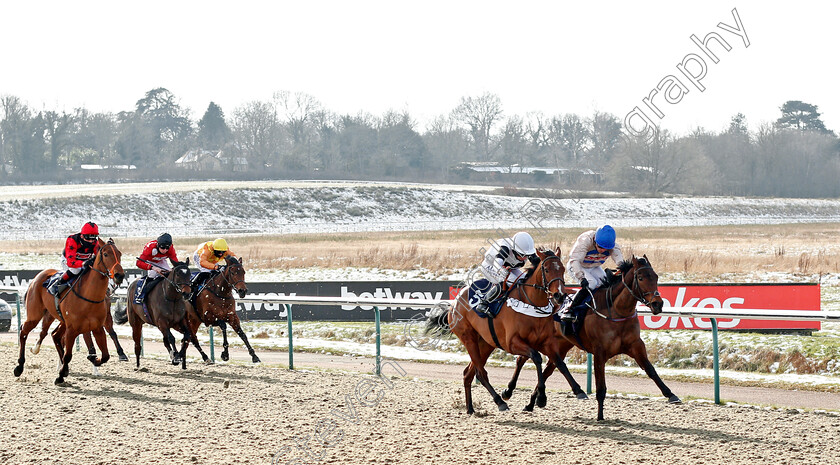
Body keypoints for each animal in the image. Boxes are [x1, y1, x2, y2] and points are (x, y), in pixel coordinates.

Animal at [14, 237, 124, 382]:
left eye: (120, 254)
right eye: (106, 254)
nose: (119, 275)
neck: (89, 297)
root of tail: (37, 277)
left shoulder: (97, 328)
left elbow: (105, 355)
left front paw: (94, 360)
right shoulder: (72, 329)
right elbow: (68, 355)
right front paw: (60, 377)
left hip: (60, 320)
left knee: (54, 335)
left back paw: (64, 367)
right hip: (35, 315)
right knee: (24, 331)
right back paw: (20, 366)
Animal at [426, 248, 572, 412]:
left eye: (563, 269)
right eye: (546, 269)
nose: (560, 295)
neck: (530, 304)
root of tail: (454, 303)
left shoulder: (544, 342)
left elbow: (555, 362)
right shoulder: (512, 343)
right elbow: (537, 358)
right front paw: (539, 397)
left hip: (485, 343)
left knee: (468, 373)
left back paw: (470, 409)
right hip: (469, 339)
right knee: (480, 373)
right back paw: (499, 402)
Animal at [502, 256, 680, 418]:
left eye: (656, 277)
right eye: (641, 278)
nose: (658, 304)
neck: (616, 310)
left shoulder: (636, 345)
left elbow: (650, 370)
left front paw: (671, 394)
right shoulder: (599, 352)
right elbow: (601, 387)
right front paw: (600, 416)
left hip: (560, 344)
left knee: (549, 369)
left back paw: (532, 402)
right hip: (537, 338)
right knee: (522, 360)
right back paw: (508, 391)